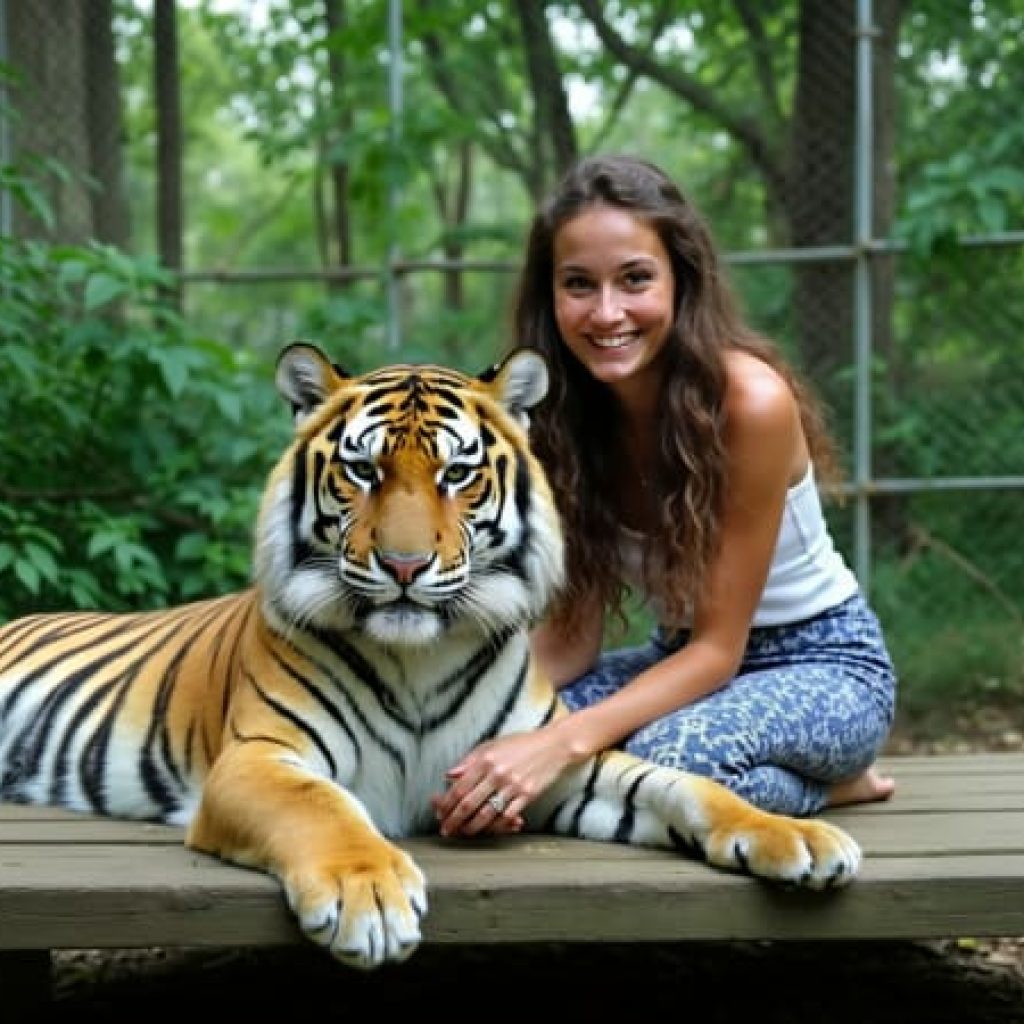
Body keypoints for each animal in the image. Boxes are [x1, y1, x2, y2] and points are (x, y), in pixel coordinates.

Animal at [0, 342, 861, 969]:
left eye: (457, 473)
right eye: (363, 470)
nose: (406, 567)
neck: (418, 659)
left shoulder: (556, 765)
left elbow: (688, 787)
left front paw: (798, 838)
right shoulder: (257, 759)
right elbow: (322, 809)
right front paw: (369, 897)